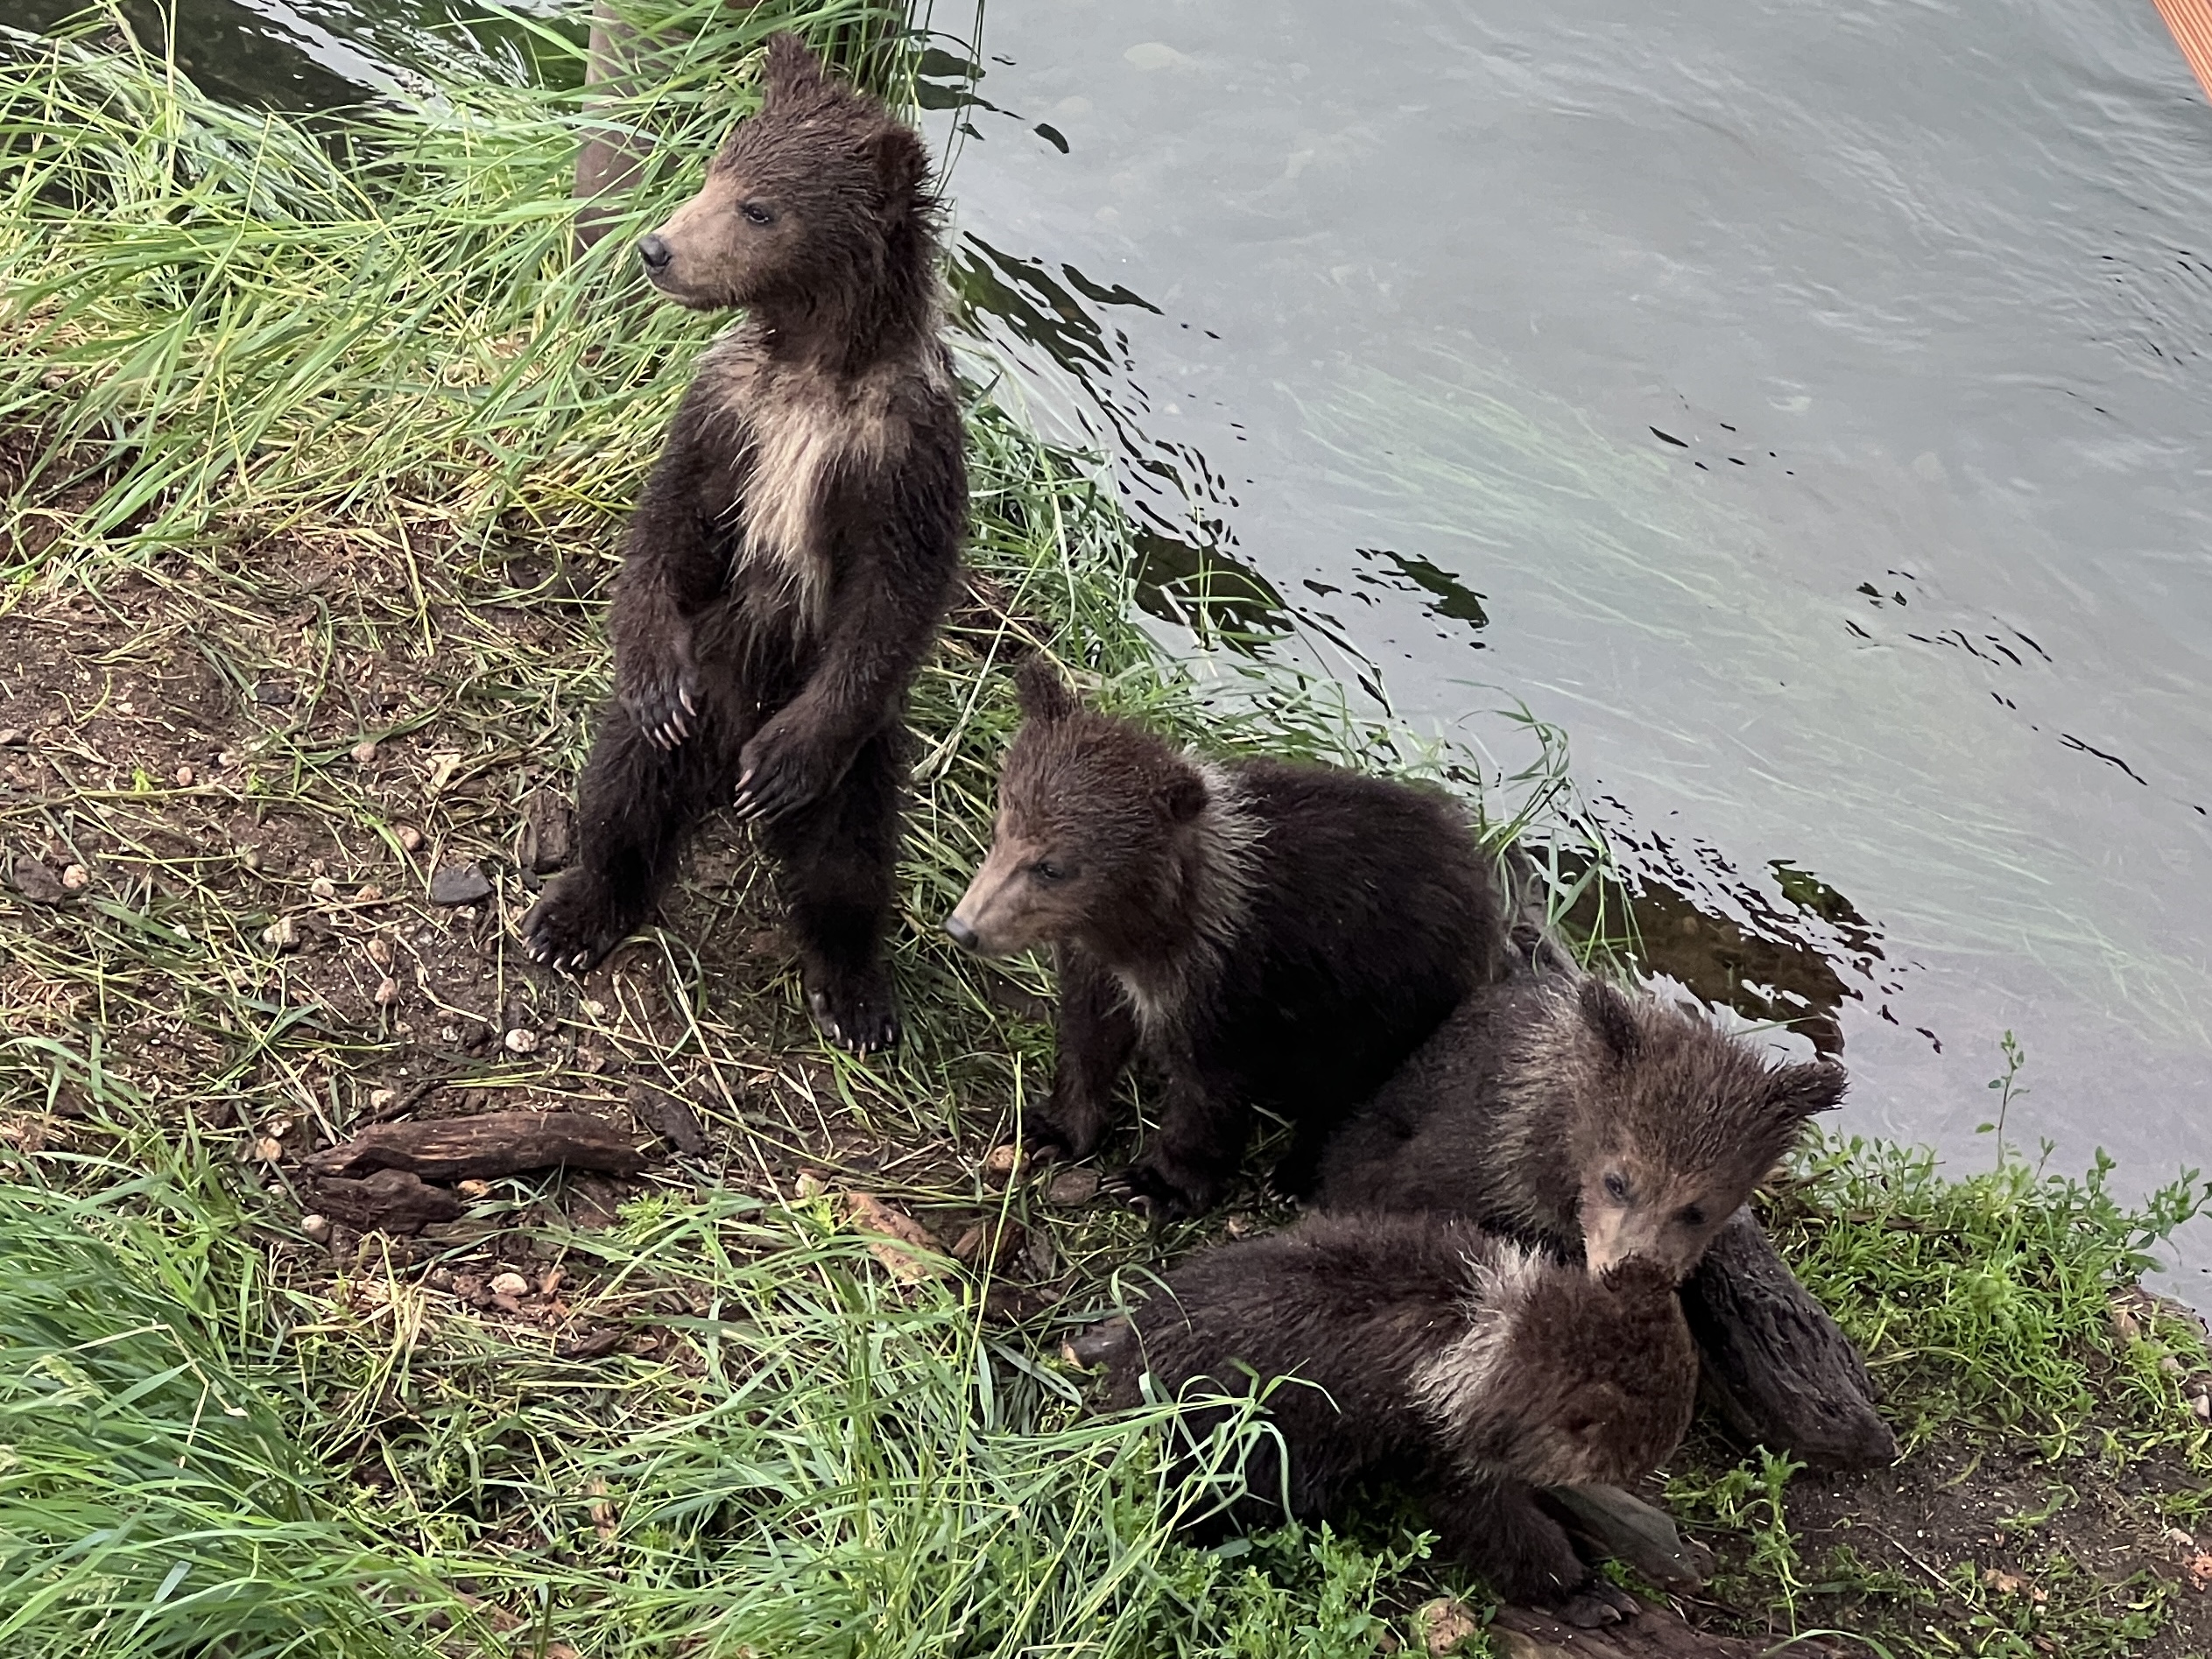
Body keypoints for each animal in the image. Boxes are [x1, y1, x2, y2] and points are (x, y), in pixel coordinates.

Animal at [520, 33, 966, 1053]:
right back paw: (574, 915)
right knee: (623, 789)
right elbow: (668, 525)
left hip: (856, 757)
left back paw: (856, 993)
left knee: (849, 858)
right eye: (717, 170)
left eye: (759, 207)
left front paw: (784, 768)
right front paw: (649, 674)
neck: (814, 367)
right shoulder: (726, 413)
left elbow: (896, 597)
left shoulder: (903, 456)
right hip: (707, 678)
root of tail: (718, 774)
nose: (656, 247)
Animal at [943, 659, 1507, 1219]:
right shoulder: (1098, 965)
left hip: (1397, 993)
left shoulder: (1232, 982)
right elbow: (1088, 1041)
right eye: (1000, 826)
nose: (964, 928)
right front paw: (1050, 1131)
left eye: (1052, 866)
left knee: (1351, 1089)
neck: (1143, 932)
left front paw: (1155, 1184)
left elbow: (1209, 1089)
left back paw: (1293, 1175)